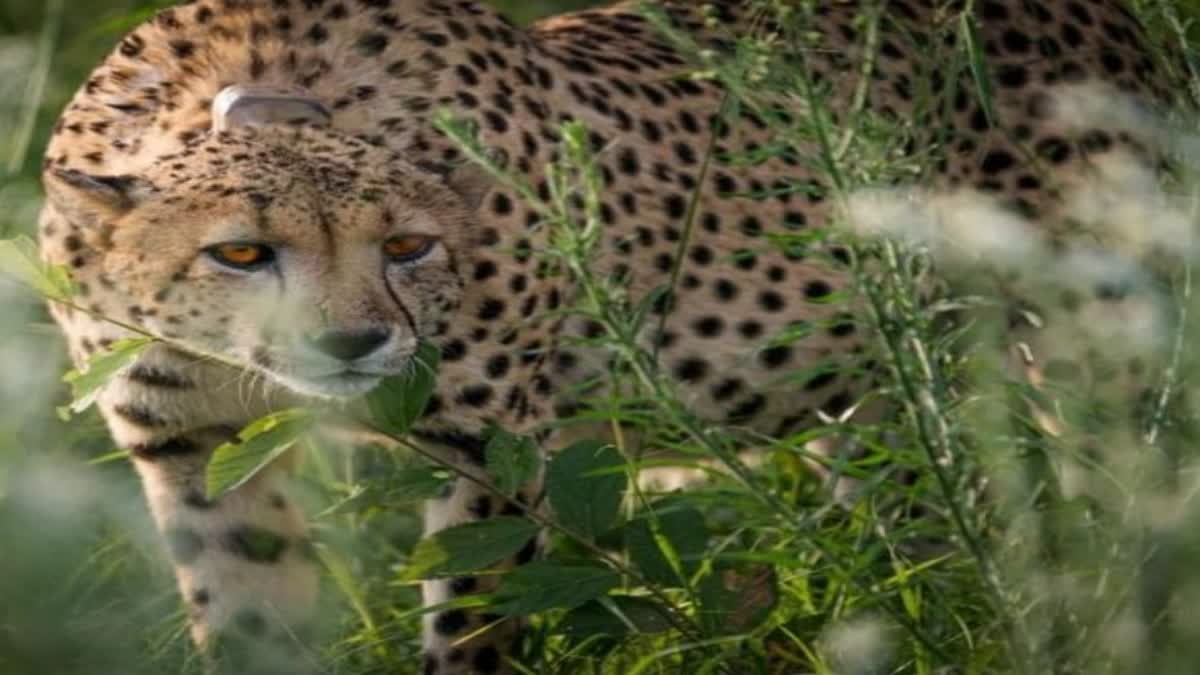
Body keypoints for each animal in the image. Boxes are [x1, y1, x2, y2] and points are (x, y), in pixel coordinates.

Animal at [39, 0, 1180, 667]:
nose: (352, 347)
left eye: (408, 245)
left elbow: (473, 626)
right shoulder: (189, 453)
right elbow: (246, 619)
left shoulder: (497, 453)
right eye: (240, 253)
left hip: (1093, 335)